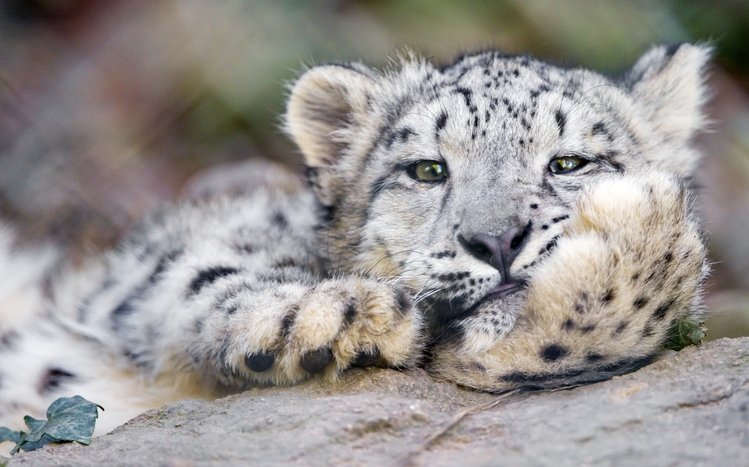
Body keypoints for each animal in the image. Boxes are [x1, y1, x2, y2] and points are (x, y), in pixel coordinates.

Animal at [0, 43, 710, 445]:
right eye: (427, 169)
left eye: (568, 162)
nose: (496, 239)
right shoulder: (154, 264)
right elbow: (203, 269)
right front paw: (331, 316)